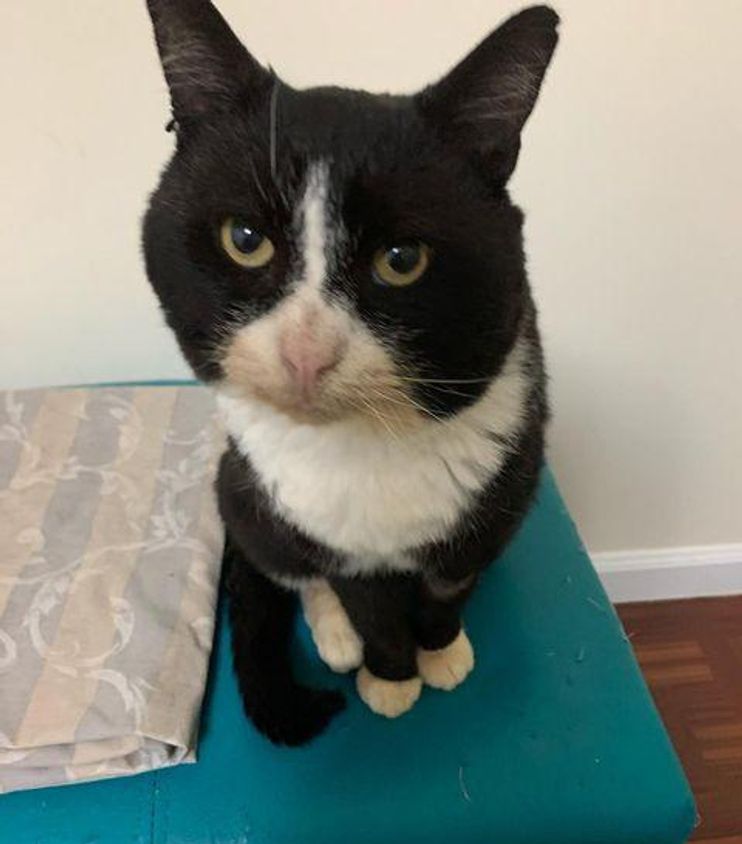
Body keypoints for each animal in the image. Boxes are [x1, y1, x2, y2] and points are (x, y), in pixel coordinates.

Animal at [141, 0, 560, 744]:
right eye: (244, 240)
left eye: (402, 259)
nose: (306, 353)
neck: (370, 444)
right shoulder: (322, 523)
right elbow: (365, 601)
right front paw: (391, 676)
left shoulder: (500, 482)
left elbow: (451, 583)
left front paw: (442, 648)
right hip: (241, 491)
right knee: (290, 569)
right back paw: (335, 638)